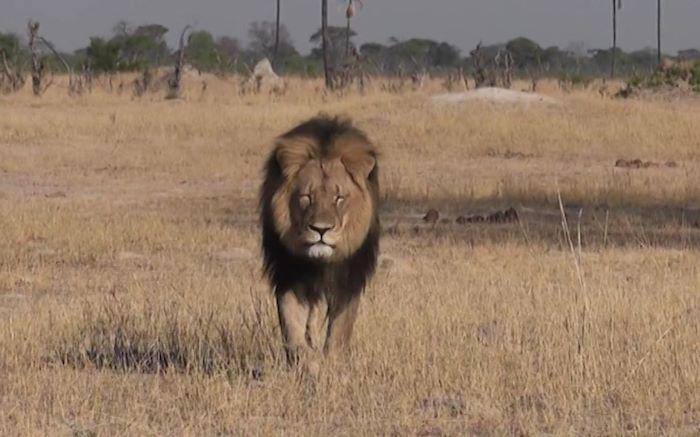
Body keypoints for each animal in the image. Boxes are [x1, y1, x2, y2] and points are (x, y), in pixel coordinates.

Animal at [259, 116, 380, 364]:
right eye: (306, 197)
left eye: (339, 198)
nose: (320, 229)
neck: (320, 263)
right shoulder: (289, 275)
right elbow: (292, 326)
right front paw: (306, 362)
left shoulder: (348, 281)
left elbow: (339, 333)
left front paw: (331, 364)